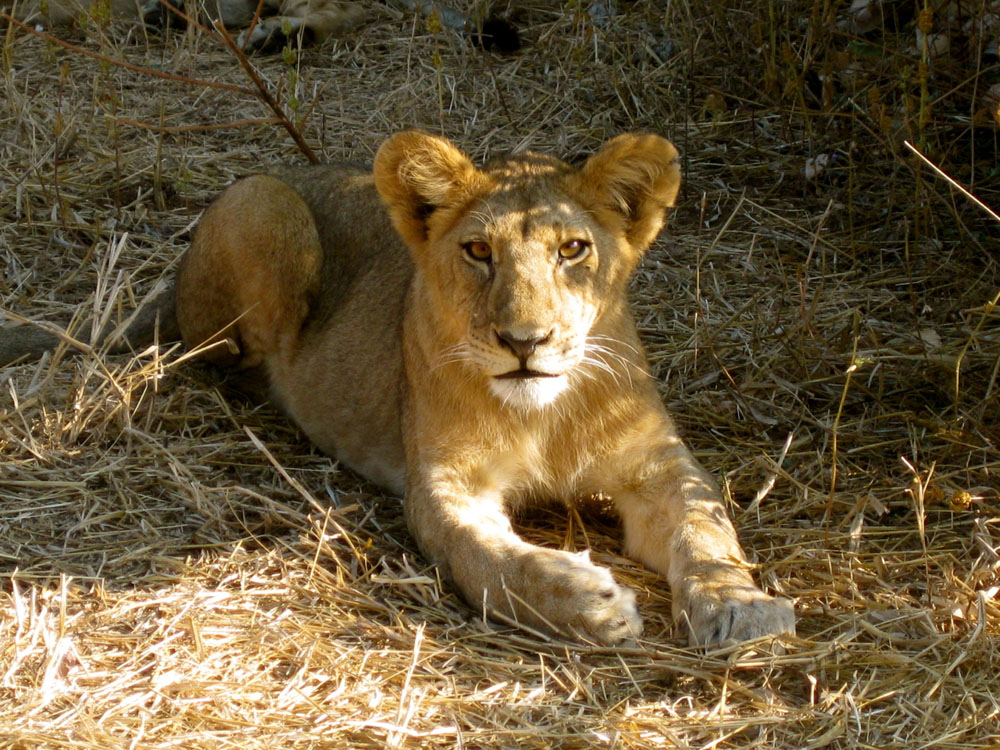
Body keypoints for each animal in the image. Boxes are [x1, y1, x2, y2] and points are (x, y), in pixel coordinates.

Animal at [1, 131, 795, 646]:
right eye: (478, 251)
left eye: (574, 250)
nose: (525, 343)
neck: (547, 415)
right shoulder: (443, 485)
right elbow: (491, 561)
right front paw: (588, 603)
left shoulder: (658, 465)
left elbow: (706, 527)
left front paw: (743, 607)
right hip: (265, 203)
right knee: (213, 354)